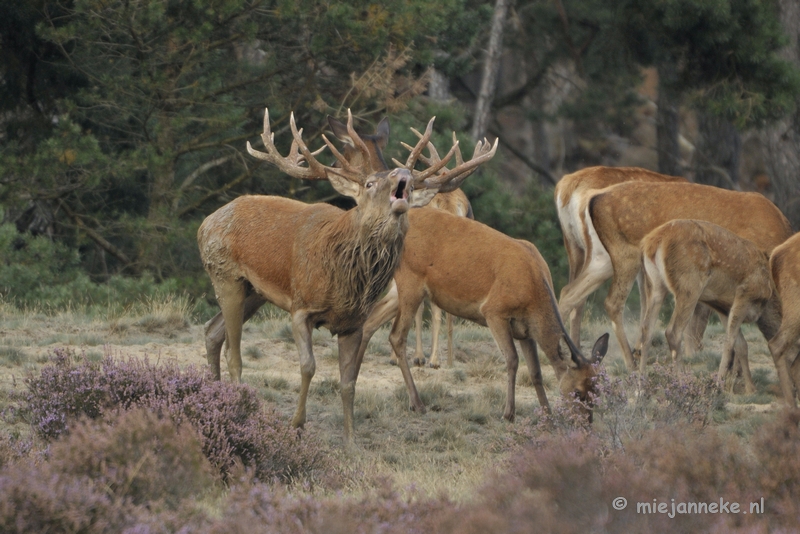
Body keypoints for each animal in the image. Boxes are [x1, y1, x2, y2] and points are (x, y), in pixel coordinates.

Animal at [197, 109, 494, 448]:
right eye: (369, 183)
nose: (402, 172)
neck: (345, 276)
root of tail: (205, 223)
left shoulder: (353, 322)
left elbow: (349, 380)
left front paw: (351, 439)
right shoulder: (301, 307)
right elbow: (308, 367)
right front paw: (296, 424)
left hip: (254, 293)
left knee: (213, 331)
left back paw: (216, 397)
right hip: (225, 274)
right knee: (233, 352)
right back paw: (238, 406)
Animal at [356, 209, 608, 422]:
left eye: (597, 391)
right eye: (577, 392)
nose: (585, 424)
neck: (534, 289)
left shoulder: (525, 330)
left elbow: (536, 372)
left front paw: (547, 414)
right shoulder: (494, 311)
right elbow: (512, 360)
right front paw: (508, 413)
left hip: (401, 289)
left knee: (370, 321)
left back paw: (353, 382)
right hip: (411, 280)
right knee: (396, 335)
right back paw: (417, 403)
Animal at [560, 180, 792, 372]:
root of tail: (593, 197)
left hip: (602, 257)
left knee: (568, 293)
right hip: (626, 253)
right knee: (612, 302)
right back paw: (631, 362)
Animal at [636, 219, 780, 394]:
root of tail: (653, 242)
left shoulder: (724, 307)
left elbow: (741, 344)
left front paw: (750, 388)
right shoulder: (744, 294)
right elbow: (730, 341)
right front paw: (719, 385)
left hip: (655, 285)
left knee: (646, 330)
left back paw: (640, 389)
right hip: (689, 284)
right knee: (672, 332)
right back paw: (682, 385)